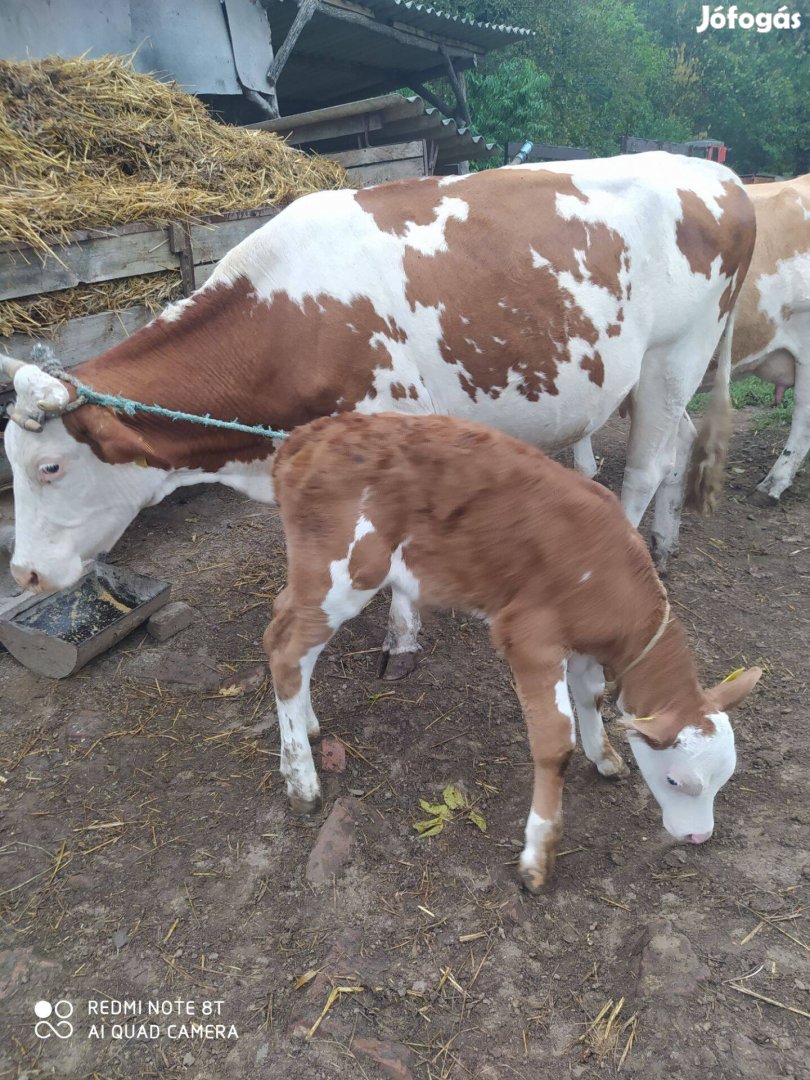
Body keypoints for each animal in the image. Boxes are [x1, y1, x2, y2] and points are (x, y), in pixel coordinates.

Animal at [3, 153, 760, 673]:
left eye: (50, 467)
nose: (25, 575)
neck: (290, 318)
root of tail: (717, 174)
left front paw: (402, 639)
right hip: (662, 374)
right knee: (678, 444)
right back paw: (663, 546)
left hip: (673, 355)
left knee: (643, 470)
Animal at [267, 408, 768, 889]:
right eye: (675, 780)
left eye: (725, 777)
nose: (699, 836)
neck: (610, 575)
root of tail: (311, 435)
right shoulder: (530, 637)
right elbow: (554, 742)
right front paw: (538, 857)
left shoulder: (582, 643)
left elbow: (592, 697)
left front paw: (605, 757)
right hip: (347, 572)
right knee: (288, 652)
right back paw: (302, 783)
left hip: (316, 576)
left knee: (281, 625)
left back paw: (307, 727)